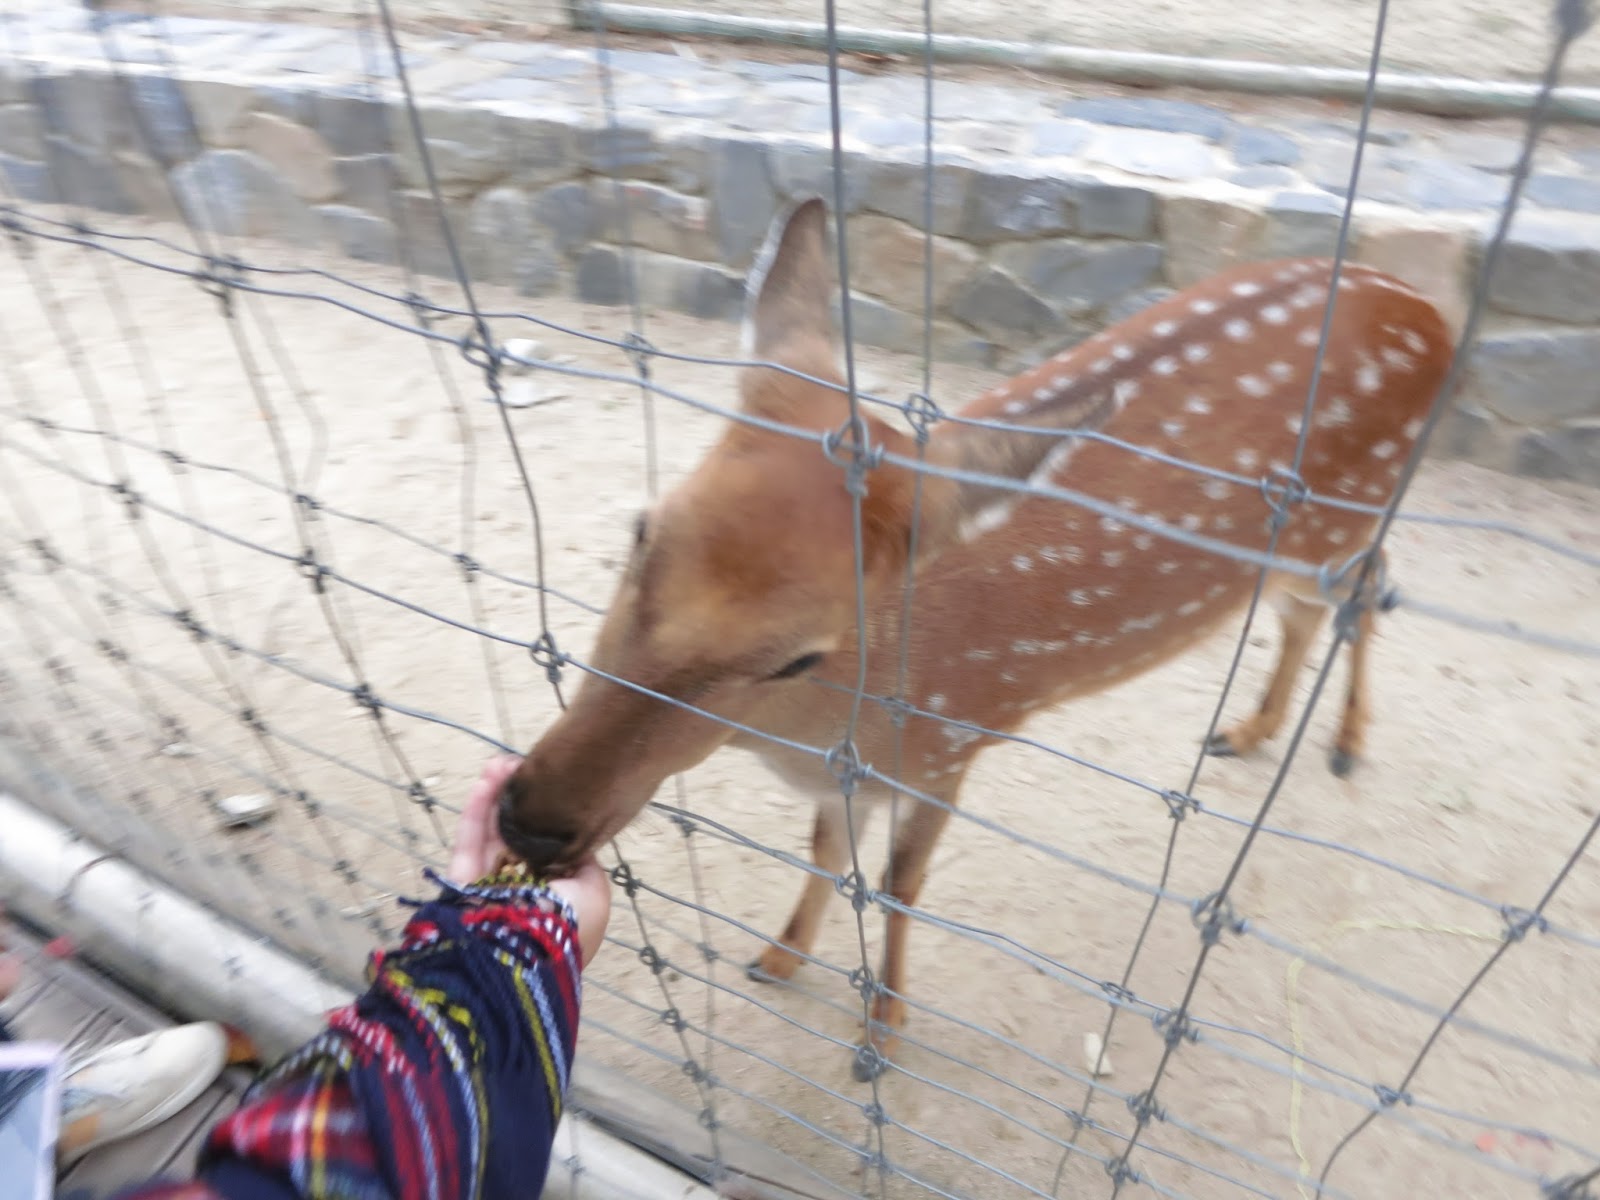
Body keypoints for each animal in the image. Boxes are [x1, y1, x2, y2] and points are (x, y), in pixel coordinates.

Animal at [497, 196, 1452, 1079]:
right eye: (641, 532)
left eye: (801, 654)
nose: (534, 821)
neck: (824, 727)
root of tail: (1431, 313)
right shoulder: (849, 772)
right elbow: (826, 848)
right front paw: (778, 954)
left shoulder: (951, 744)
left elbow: (899, 883)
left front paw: (880, 1032)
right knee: (1313, 608)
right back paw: (1250, 730)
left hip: (1348, 517)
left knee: (1366, 590)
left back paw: (1341, 742)